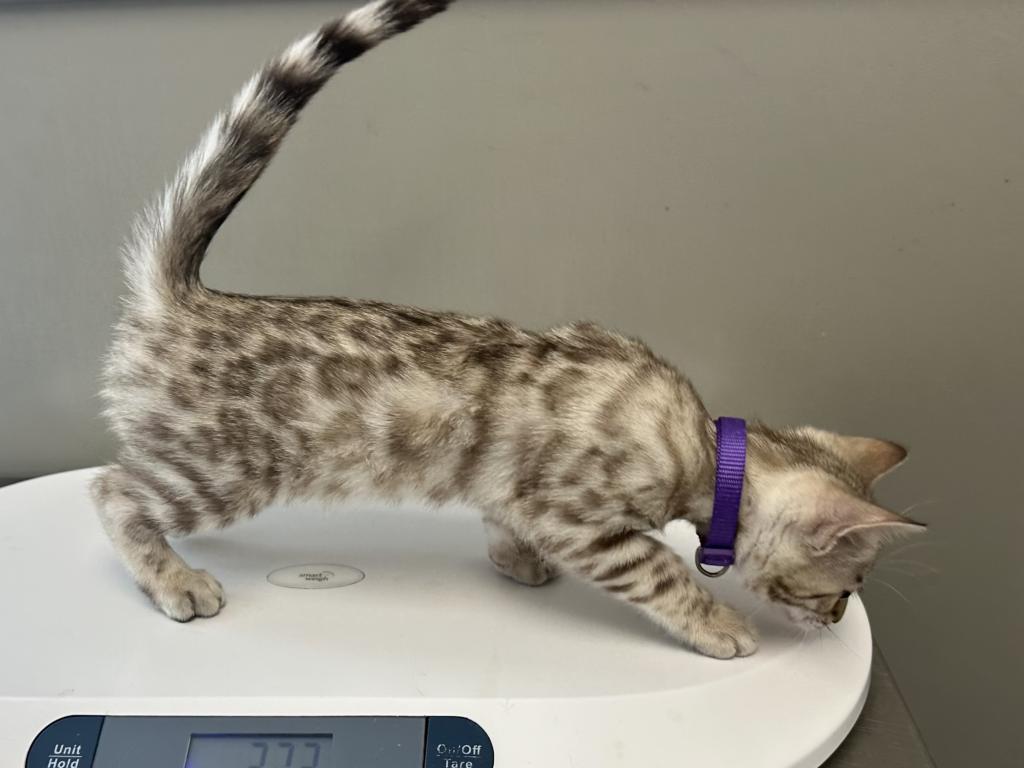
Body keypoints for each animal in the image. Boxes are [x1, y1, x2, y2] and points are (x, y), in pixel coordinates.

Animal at [92, 0, 923, 659]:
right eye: (849, 581)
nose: (838, 615)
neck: (705, 451)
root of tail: (180, 295)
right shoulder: (585, 521)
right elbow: (663, 574)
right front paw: (717, 623)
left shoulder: (514, 489)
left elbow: (502, 516)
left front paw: (514, 560)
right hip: (224, 470)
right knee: (113, 490)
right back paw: (173, 578)